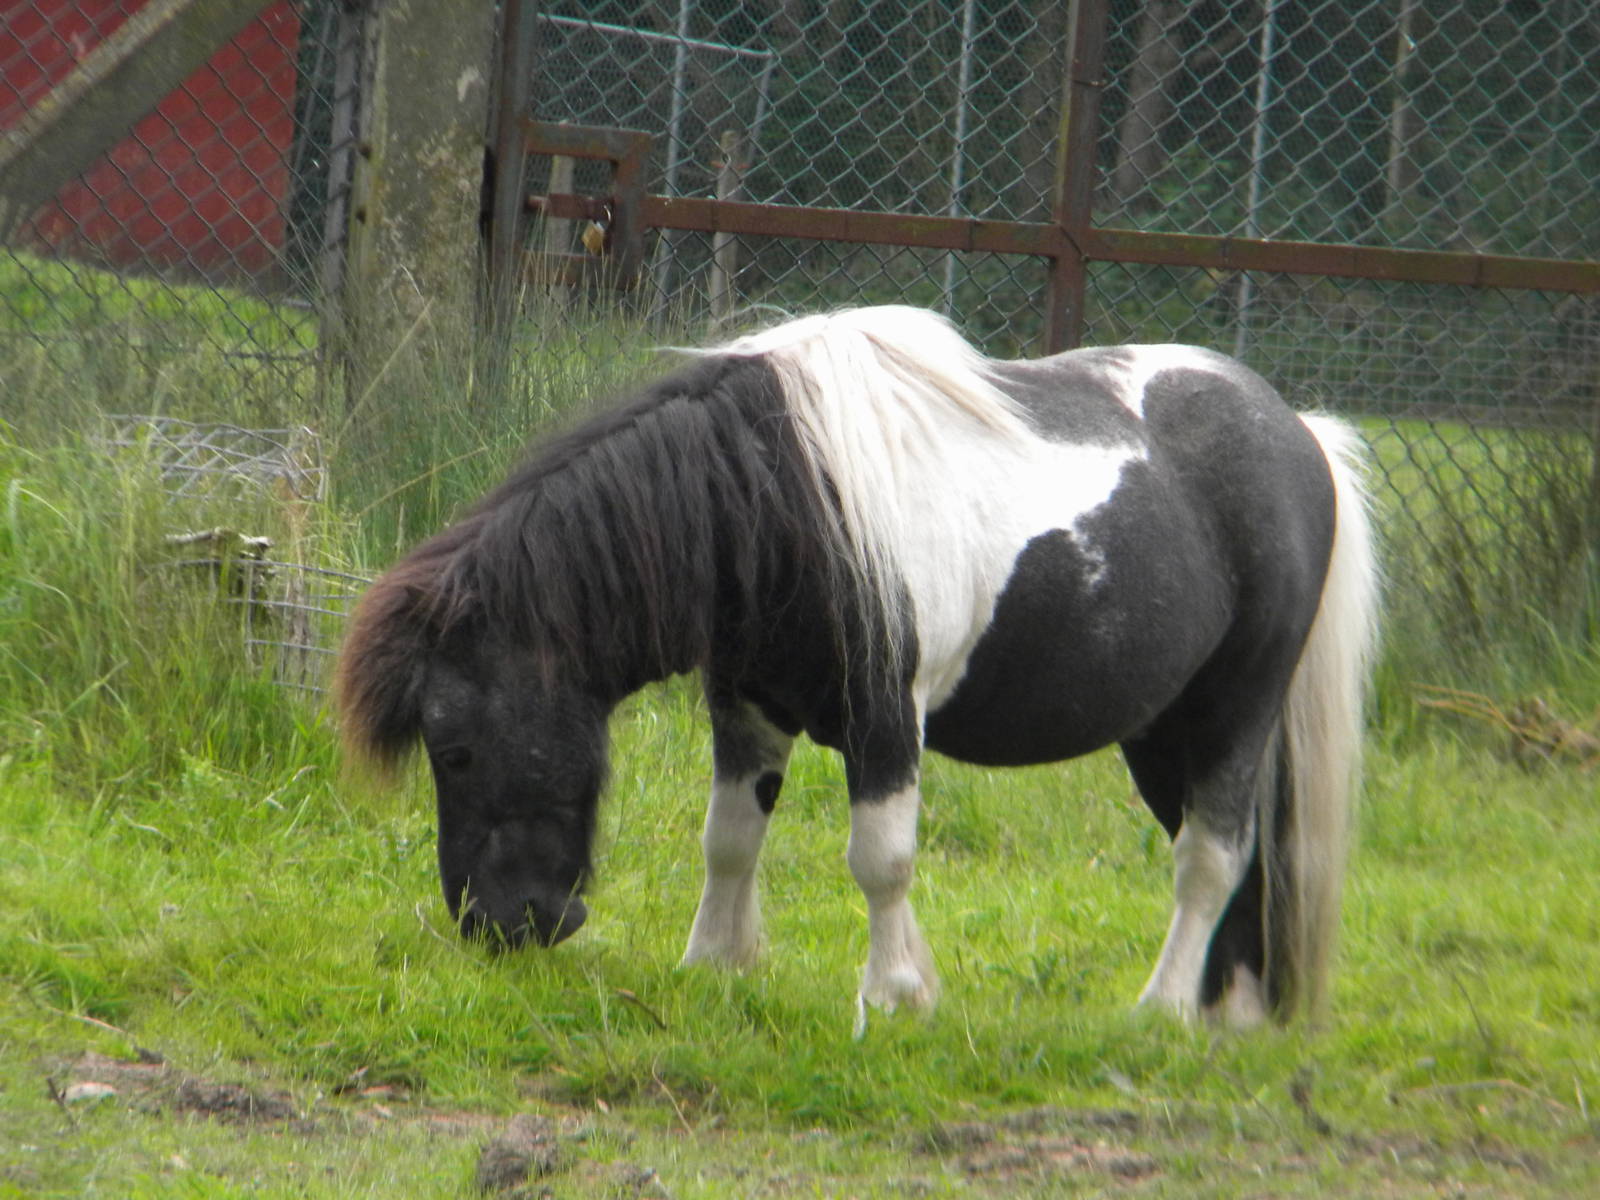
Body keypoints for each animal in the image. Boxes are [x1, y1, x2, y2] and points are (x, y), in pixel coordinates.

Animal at [336, 305, 1378, 1030]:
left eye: (454, 750)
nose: (500, 928)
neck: (781, 502)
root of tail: (1298, 434)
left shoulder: (886, 721)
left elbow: (881, 861)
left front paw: (894, 996)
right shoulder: (747, 708)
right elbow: (729, 839)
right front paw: (713, 966)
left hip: (1236, 710)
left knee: (1211, 855)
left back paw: (1159, 1012)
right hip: (1161, 733)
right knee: (1238, 862)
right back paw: (1227, 1016)